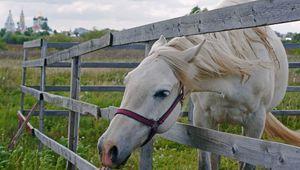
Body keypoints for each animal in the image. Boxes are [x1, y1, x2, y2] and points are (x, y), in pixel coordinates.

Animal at [97, 0, 298, 169]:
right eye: (127, 82)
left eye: (162, 93)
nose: (107, 148)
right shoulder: (204, 119)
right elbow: (206, 162)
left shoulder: (255, 125)